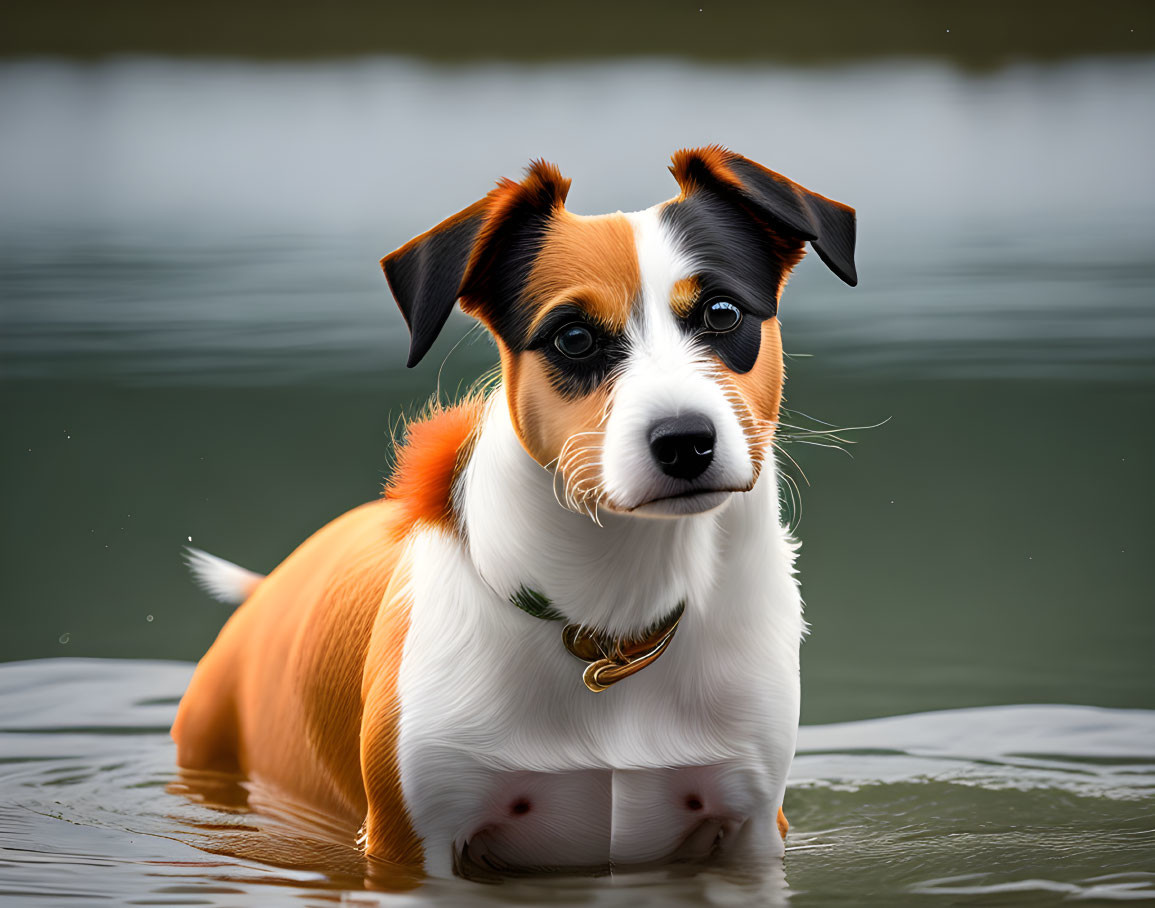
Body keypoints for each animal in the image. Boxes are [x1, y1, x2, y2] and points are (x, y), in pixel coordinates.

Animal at [173, 143, 859, 877]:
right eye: (573, 338)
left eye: (723, 313)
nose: (685, 441)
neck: (612, 627)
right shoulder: (414, 842)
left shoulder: (752, 826)